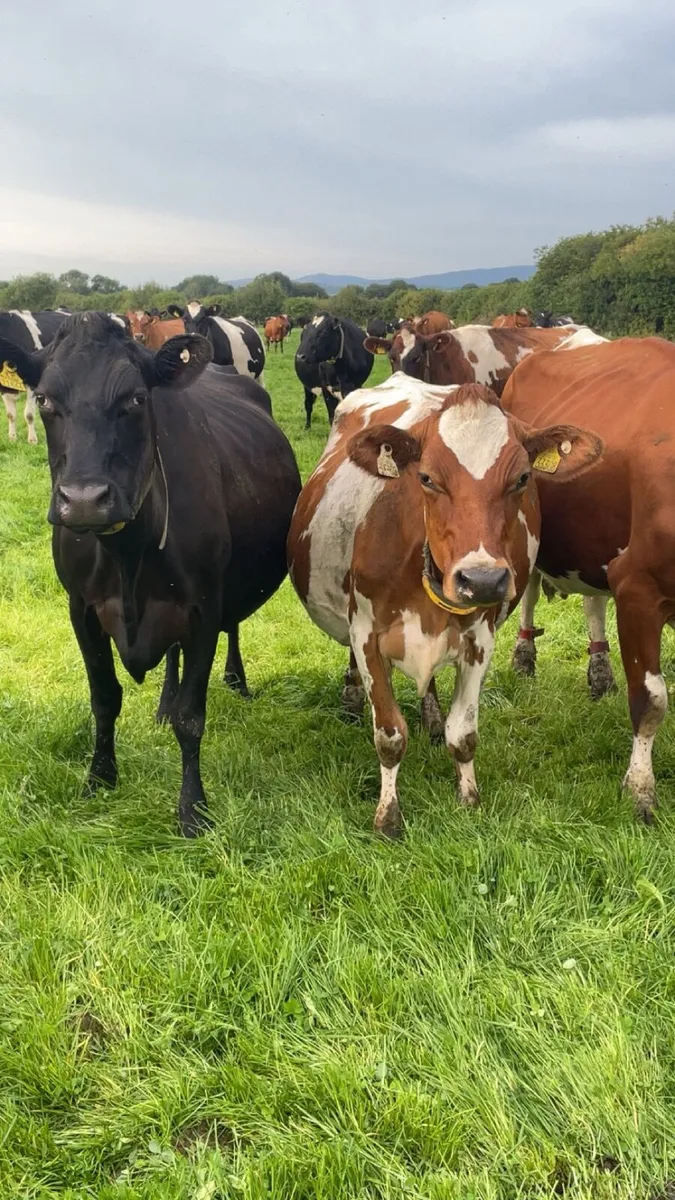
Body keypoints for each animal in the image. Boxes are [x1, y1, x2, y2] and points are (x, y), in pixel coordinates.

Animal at [0, 313, 301, 836]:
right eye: (45, 401)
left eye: (136, 399)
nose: (84, 500)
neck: (126, 554)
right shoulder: (81, 609)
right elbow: (104, 698)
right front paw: (99, 779)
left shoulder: (203, 606)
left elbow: (191, 716)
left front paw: (193, 808)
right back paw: (162, 702)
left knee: (233, 628)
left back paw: (236, 679)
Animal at [287, 373, 602, 837]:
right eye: (427, 478)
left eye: (522, 478)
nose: (483, 580)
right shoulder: (366, 633)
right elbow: (389, 735)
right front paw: (388, 817)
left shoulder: (479, 639)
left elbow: (464, 733)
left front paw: (468, 799)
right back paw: (352, 697)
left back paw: (432, 719)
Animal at [500, 335, 675, 823]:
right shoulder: (639, 587)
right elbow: (651, 700)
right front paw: (640, 790)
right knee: (530, 591)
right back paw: (524, 655)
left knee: (593, 598)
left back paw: (600, 670)